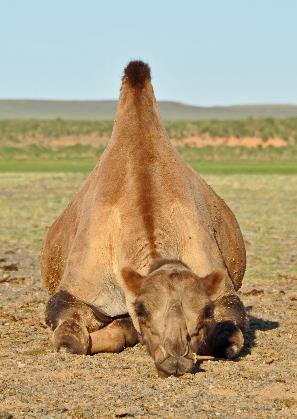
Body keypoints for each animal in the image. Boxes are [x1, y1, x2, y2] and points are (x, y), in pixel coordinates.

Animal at [40, 60, 246, 378]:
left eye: (202, 312)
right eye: (143, 310)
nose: (175, 359)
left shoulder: (222, 291)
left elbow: (230, 339)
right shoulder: (73, 291)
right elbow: (69, 341)